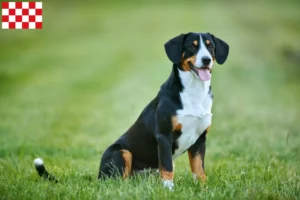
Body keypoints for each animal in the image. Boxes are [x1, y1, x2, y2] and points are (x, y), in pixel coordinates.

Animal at [33, 32, 230, 190]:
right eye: (191, 46)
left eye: (210, 46)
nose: (206, 59)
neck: (194, 92)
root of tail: (98, 176)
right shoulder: (164, 136)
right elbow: (168, 167)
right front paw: (169, 190)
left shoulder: (200, 139)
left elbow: (199, 169)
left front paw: (203, 189)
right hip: (122, 152)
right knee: (117, 181)